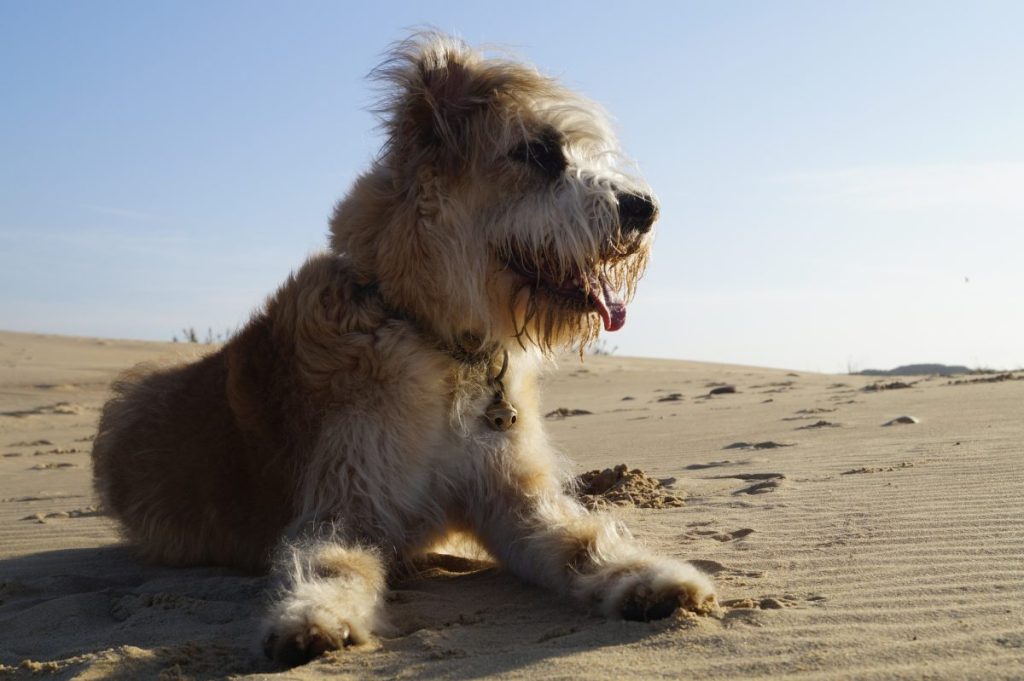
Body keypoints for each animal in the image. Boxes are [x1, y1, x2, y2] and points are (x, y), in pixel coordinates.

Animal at [92, 34, 716, 667]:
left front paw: (652, 580)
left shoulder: (515, 499)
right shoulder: (348, 501)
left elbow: (580, 539)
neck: (437, 341)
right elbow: (333, 561)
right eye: (538, 153)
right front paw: (314, 616)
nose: (645, 208)